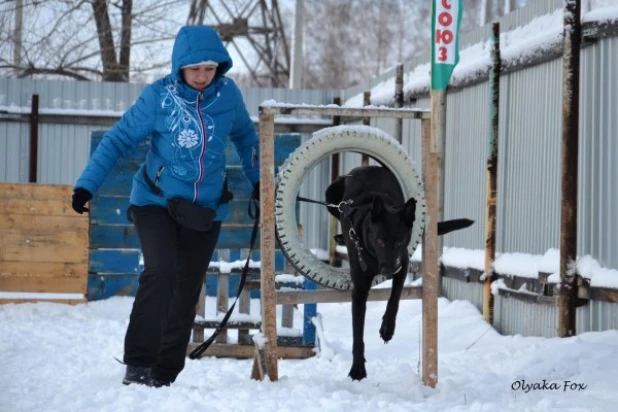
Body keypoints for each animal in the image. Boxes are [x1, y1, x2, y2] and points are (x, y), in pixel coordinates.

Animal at [322, 164, 472, 380]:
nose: (388, 270)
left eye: (399, 242)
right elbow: (357, 333)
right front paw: (358, 369)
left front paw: (387, 329)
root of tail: (367, 166)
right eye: (380, 241)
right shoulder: (360, 289)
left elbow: (395, 298)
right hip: (330, 195)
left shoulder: (404, 264)